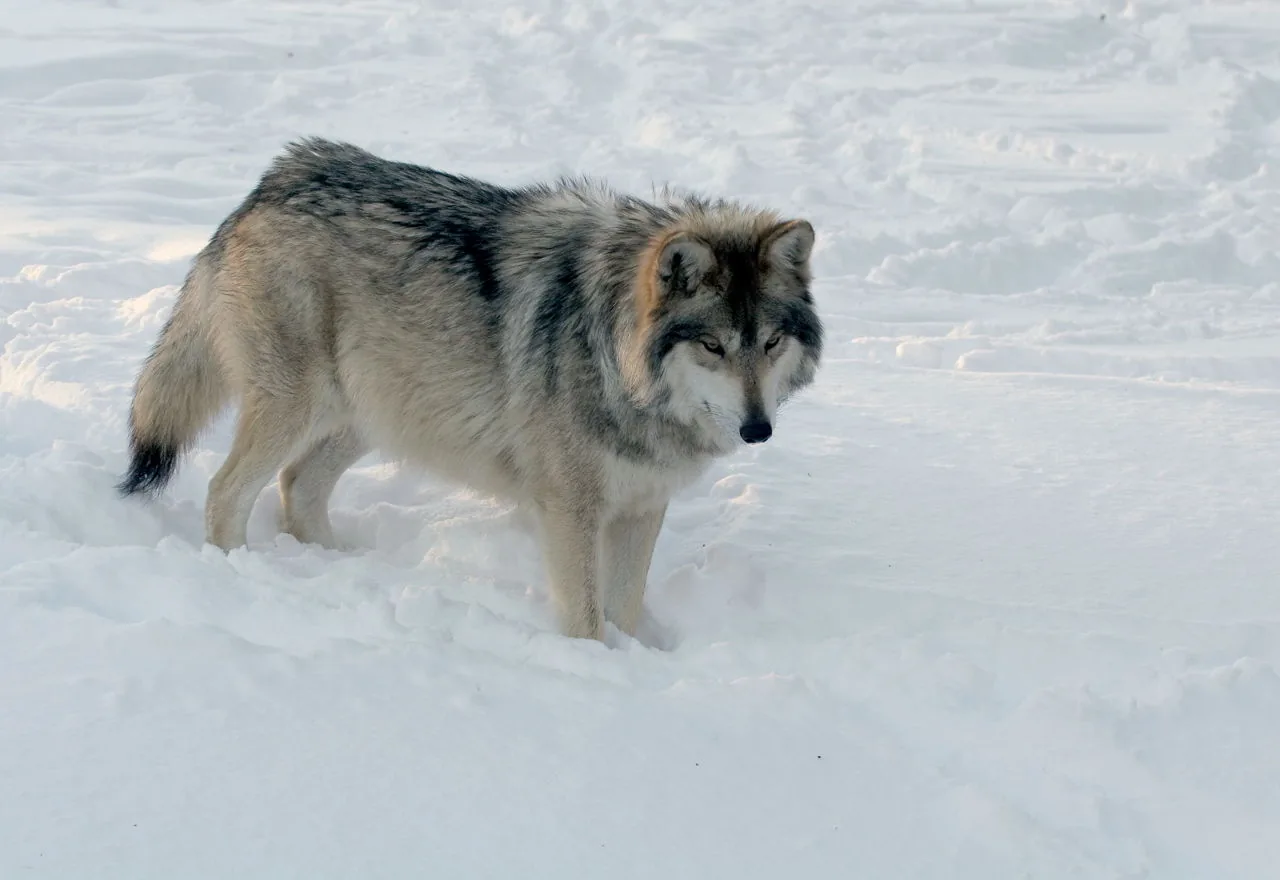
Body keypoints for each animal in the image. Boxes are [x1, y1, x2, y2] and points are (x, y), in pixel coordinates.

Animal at [118, 138, 823, 641]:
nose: (757, 429)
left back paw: (342, 565)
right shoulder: (570, 510)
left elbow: (623, 610)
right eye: (713, 347)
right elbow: (587, 621)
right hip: (302, 407)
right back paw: (245, 574)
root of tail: (276, 179)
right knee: (225, 492)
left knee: (298, 485)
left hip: (374, 414)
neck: (615, 356)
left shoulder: (642, 506)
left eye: (769, 343)